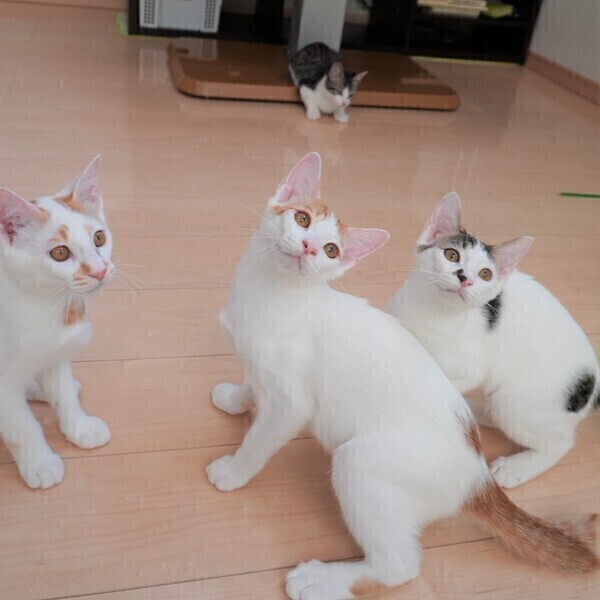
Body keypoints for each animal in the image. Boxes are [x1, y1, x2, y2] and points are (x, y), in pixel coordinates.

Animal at [0, 156, 114, 489]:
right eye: (60, 253)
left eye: (99, 237)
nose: (100, 270)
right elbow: (21, 424)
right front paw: (39, 464)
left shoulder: (57, 350)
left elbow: (62, 392)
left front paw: (80, 427)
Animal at [387, 192, 599, 489]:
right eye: (451, 255)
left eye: (485, 274)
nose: (465, 278)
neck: (432, 311)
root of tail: (592, 386)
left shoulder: (469, 369)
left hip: (518, 400)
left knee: (560, 442)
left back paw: (516, 467)